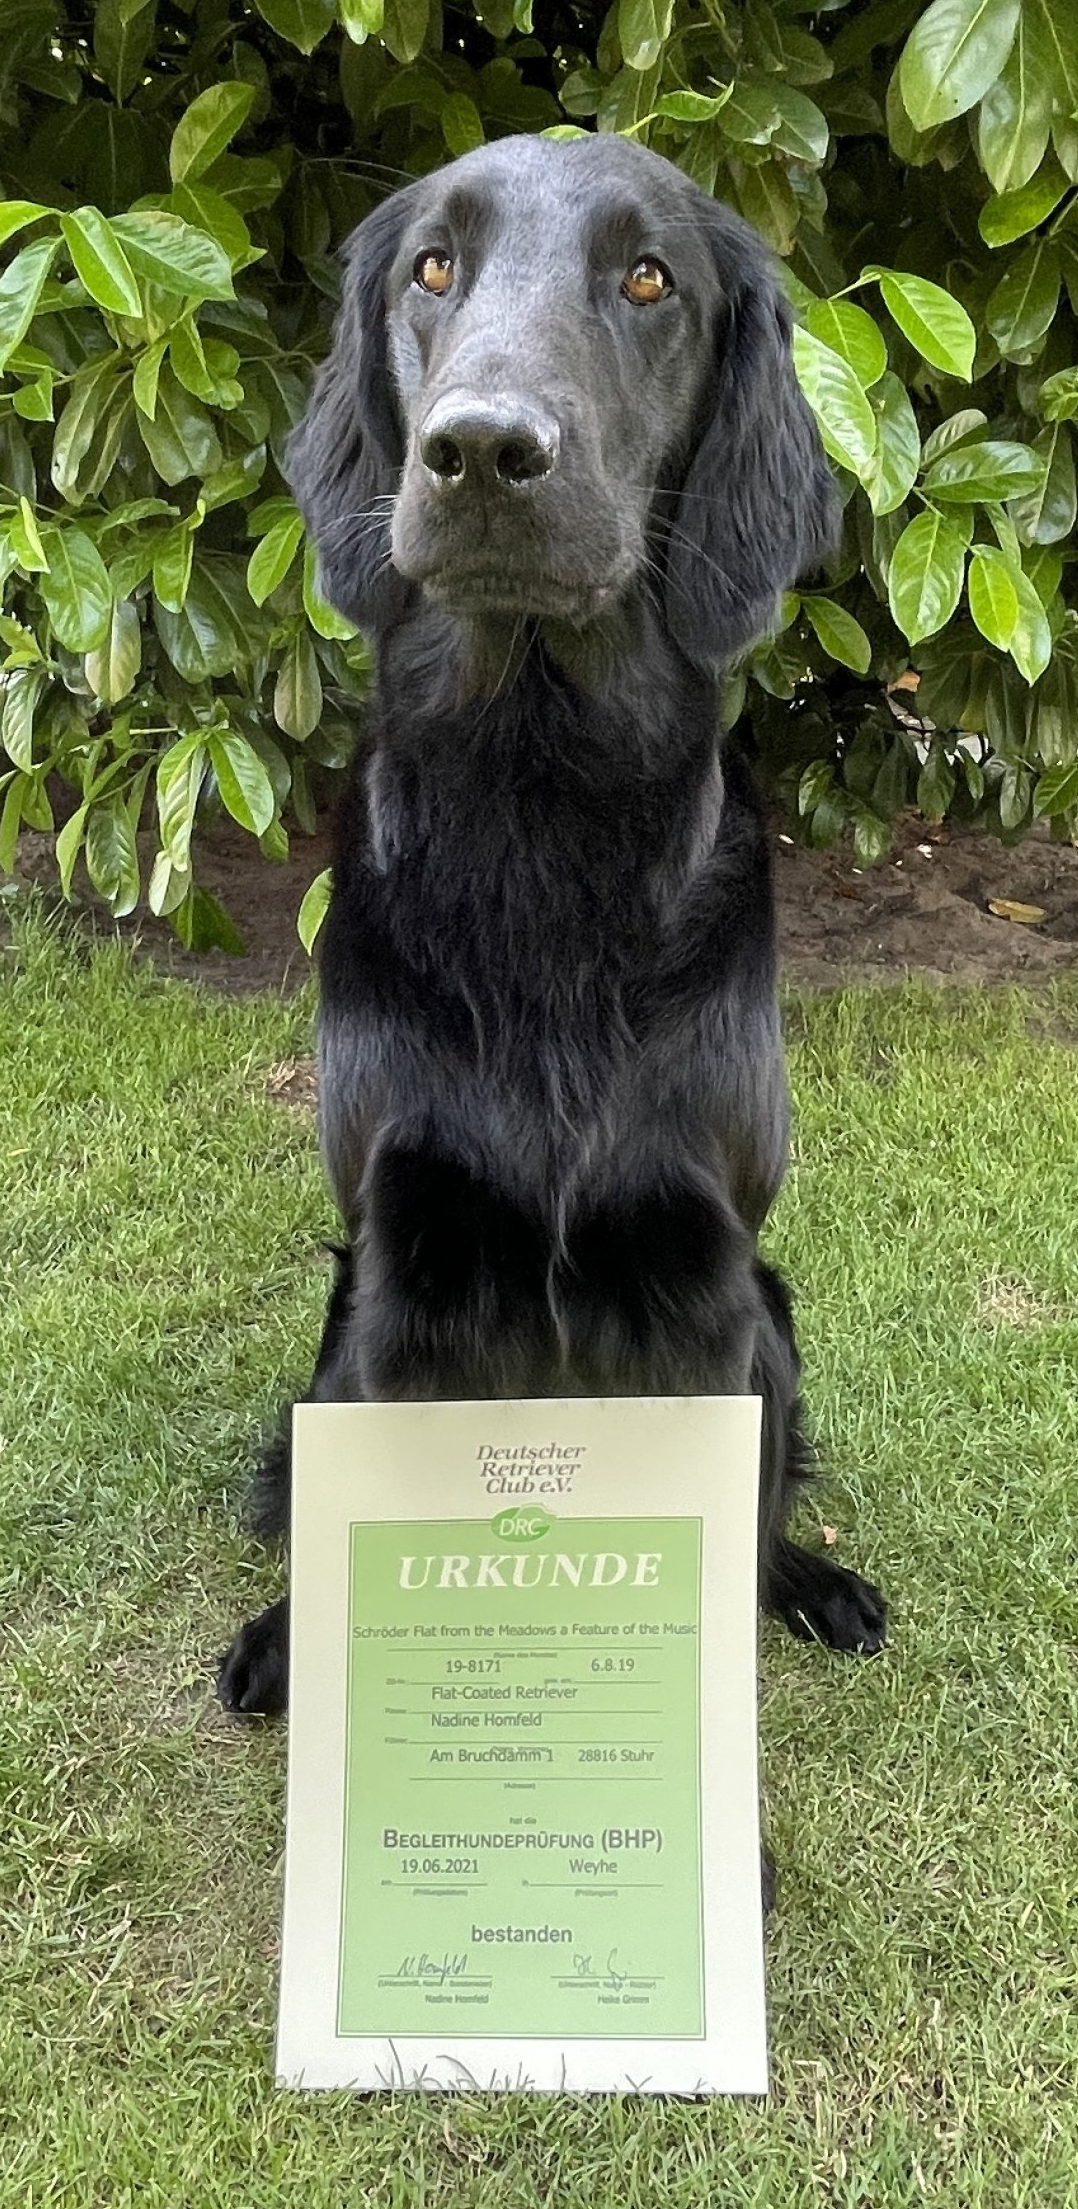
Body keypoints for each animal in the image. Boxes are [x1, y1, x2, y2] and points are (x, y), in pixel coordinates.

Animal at [217, 135, 886, 1742]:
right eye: (431, 268)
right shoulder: (407, 1268)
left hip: (772, 1319)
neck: (537, 811)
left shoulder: (700, 1283)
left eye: (648, 278)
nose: (477, 452)